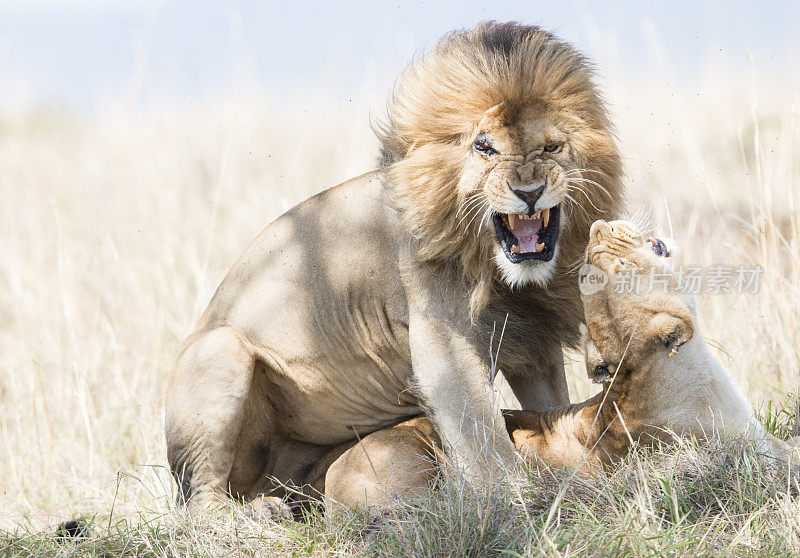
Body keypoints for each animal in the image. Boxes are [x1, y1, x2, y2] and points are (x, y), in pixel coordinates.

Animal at [166, 21, 620, 516]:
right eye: (485, 148)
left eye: (552, 147)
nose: (530, 192)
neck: (502, 273)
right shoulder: (444, 345)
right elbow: (482, 437)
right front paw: (516, 502)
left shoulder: (533, 341)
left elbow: (550, 405)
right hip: (221, 351)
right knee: (201, 503)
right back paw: (256, 514)